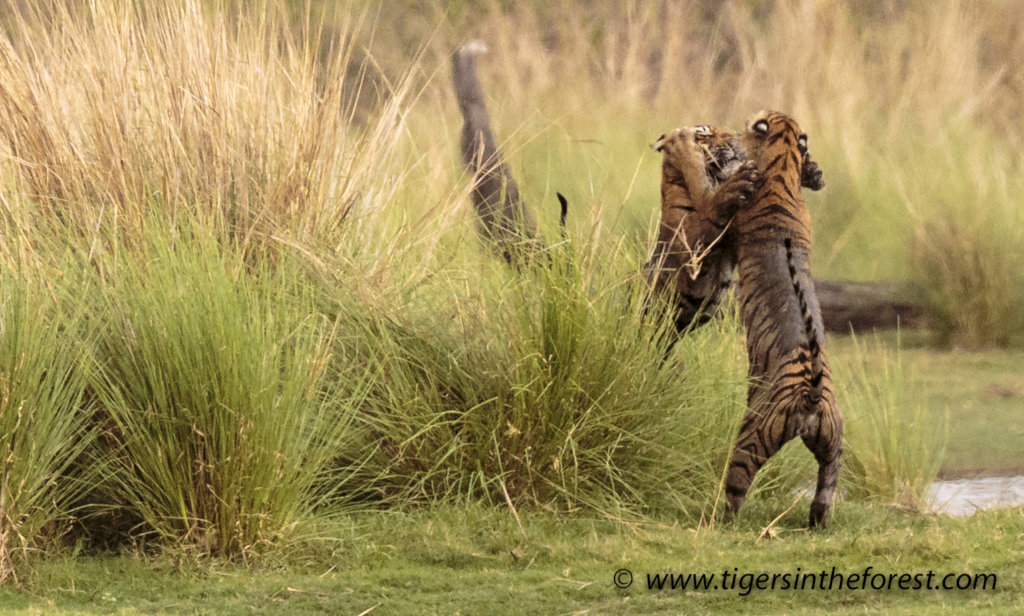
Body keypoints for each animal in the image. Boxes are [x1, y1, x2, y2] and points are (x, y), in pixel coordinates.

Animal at [724, 110, 842, 528]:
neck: (782, 166)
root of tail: (811, 391)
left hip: (750, 437)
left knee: (735, 489)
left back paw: (717, 519)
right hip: (834, 442)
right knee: (826, 487)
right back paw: (818, 522)